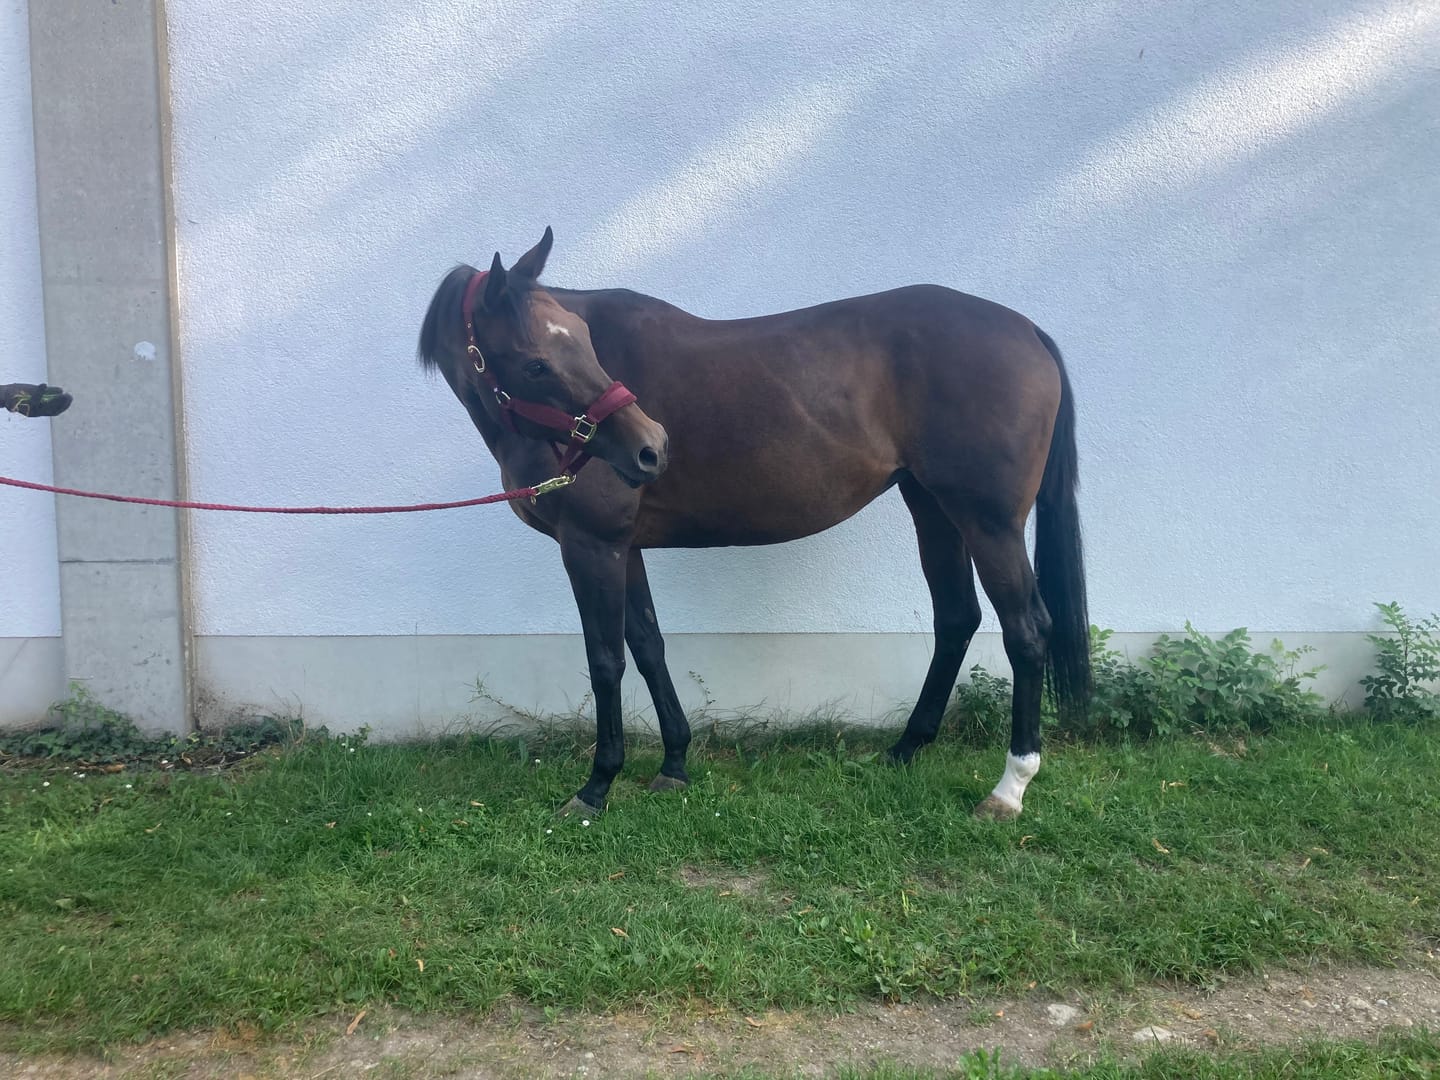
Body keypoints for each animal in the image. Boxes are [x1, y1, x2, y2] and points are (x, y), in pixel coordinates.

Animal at [418, 227, 1089, 821]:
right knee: (956, 618)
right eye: (535, 364)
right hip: (932, 508)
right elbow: (648, 645)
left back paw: (1009, 787)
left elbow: (605, 659)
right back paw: (903, 750)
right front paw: (674, 765)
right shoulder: (624, 548)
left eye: (581, 340)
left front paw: (596, 786)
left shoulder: (591, 545)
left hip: (989, 522)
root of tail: (1026, 330)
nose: (651, 447)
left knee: (1026, 630)